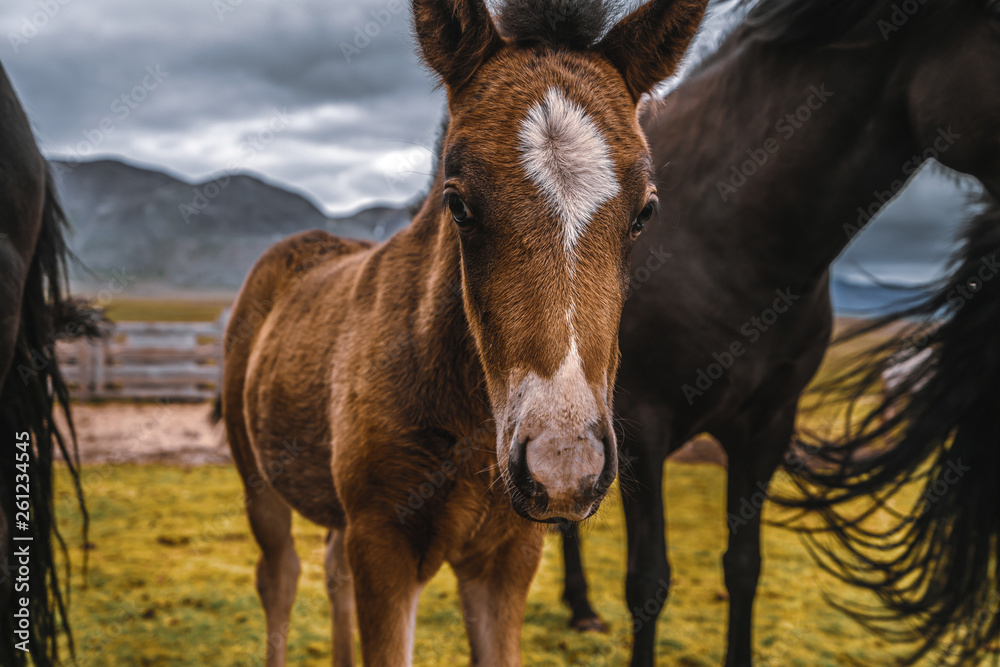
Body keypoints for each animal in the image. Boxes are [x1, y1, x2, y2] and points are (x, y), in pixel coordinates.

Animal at [221, 0, 704, 664]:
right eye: (458, 204)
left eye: (645, 212)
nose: (563, 464)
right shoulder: (383, 543)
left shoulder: (507, 556)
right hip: (257, 478)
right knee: (280, 577)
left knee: (329, 570)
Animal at [560, 0, 1000, 664]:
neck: (733, 240)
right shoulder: (643, 425)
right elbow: (648, 580)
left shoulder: (767, 425)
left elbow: (744, 568)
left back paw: (581, 608)